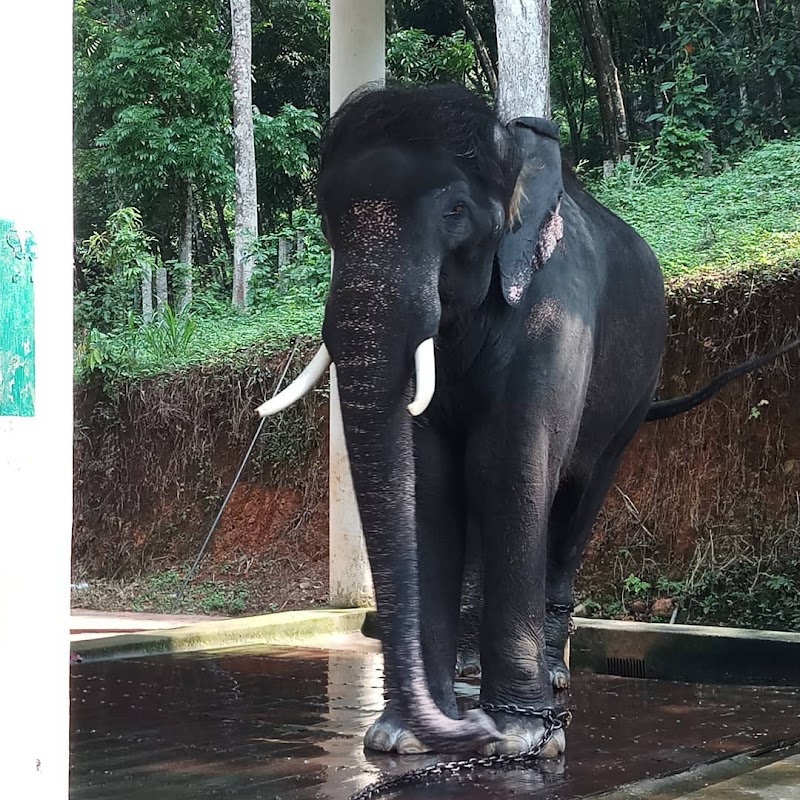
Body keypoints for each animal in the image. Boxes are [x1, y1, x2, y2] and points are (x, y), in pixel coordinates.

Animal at [256, 84, 800, 758]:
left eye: (456, 210)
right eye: (327, 219)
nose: (471, 729)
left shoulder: (552, 316)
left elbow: (509, 465)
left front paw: (517, 737)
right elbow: (432, 482)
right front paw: (402, 738)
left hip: (633, 397)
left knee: (575, 504)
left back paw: (554, 676)